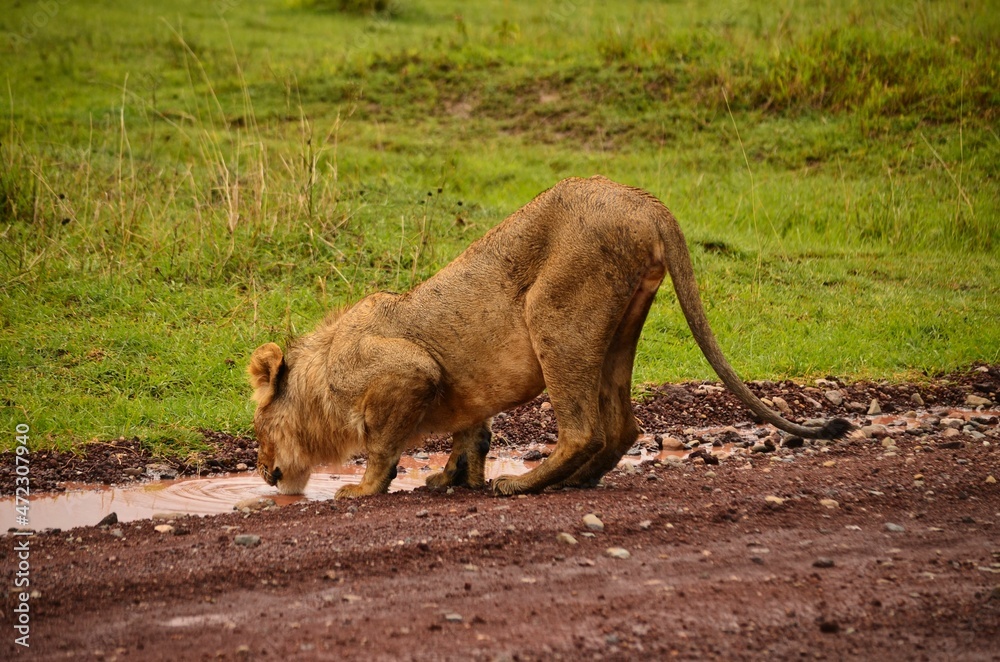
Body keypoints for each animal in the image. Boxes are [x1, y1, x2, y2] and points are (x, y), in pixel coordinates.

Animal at [248, 176, 849, 498]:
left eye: (258, 429)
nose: (263, 473)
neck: (320, 376)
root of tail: (644, 200)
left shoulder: (410, 372)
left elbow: (381, 448)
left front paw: (364, 488)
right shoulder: (459, 391)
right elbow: (472, 435)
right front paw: (450, 479)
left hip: (554, 314)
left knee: (584, 429)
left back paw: (524, 485)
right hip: (619, 326)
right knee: (622, 426)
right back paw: (573, 482)